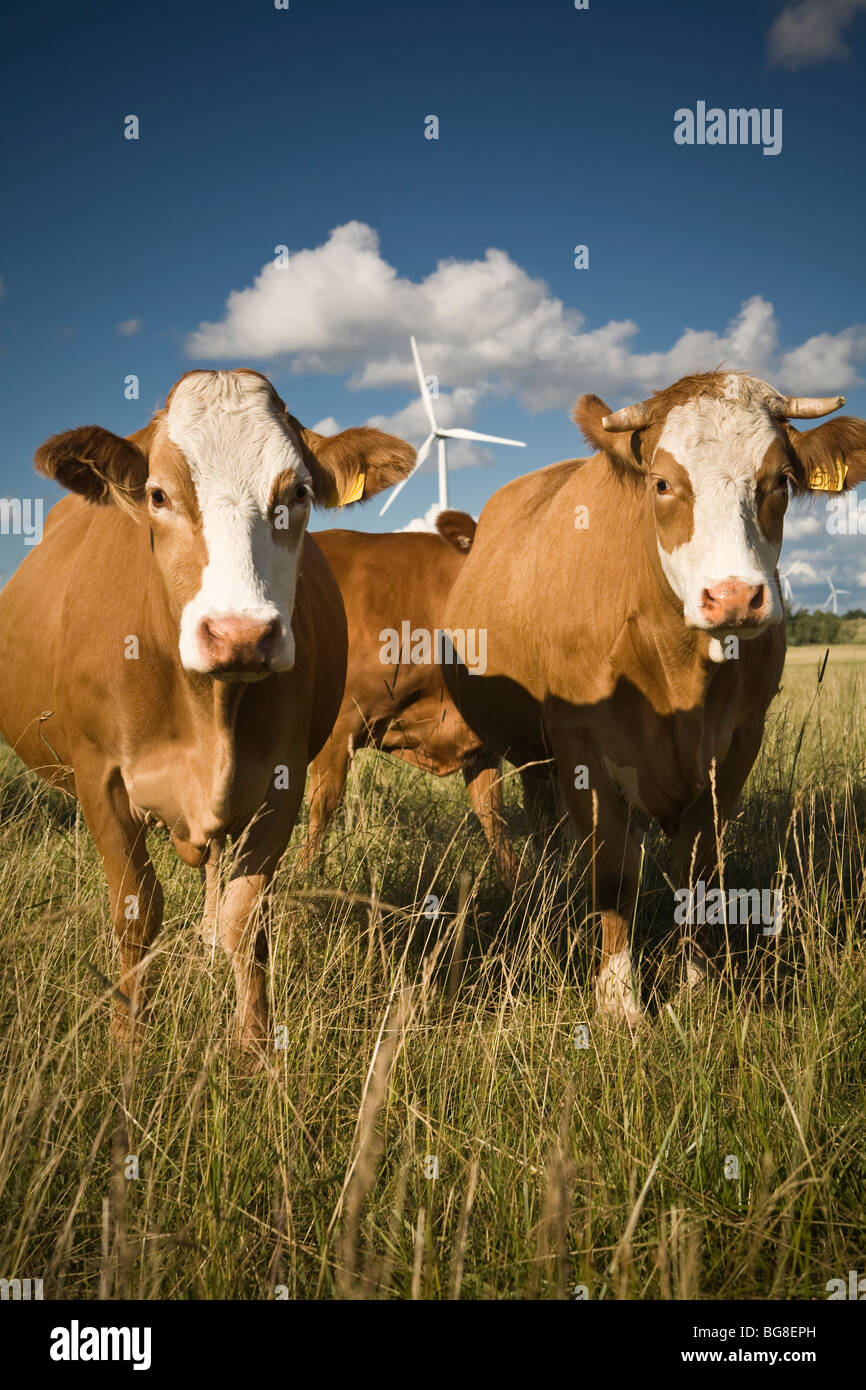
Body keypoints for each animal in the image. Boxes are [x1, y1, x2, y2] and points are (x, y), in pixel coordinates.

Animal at [0, 368, 415, 1054]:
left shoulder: (281, 781)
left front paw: (254, 1046)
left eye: (297, 493)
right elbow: (137, 908)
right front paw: (127, 1041)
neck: (207, 710)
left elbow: (246, 915)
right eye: (158, 495)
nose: (240, 634)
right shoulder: (99, 778)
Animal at [299, 511, 517, 883]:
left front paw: (518, 886)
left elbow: (495, 820)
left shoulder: (480, 743)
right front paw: (303, 879)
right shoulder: (339, 726)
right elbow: (322, 807)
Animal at [442, 371, 866, 1025]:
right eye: (663, 484)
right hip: (496, 739)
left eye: (780, 481)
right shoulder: (581, 741)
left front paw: (695, 987)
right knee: (497, 810)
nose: (734, 597)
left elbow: (696, 865)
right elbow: (615, 870)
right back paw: (531, 893)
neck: (680, 675)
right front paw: (618, 1002)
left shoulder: (739, 744)